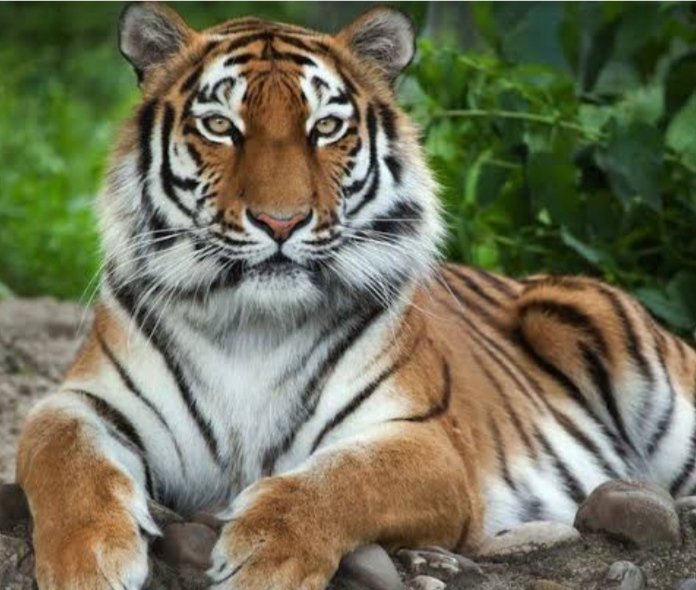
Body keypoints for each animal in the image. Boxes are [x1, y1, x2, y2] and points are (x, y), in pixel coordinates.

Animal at [16, 2, 696, 589]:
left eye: (325, 128)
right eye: (220, 127)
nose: (282, 221)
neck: (250, 326)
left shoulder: (425, 442)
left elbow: (341, 479)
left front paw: (265, 555)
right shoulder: (83, 401)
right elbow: (62, 455)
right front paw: (89, 560)